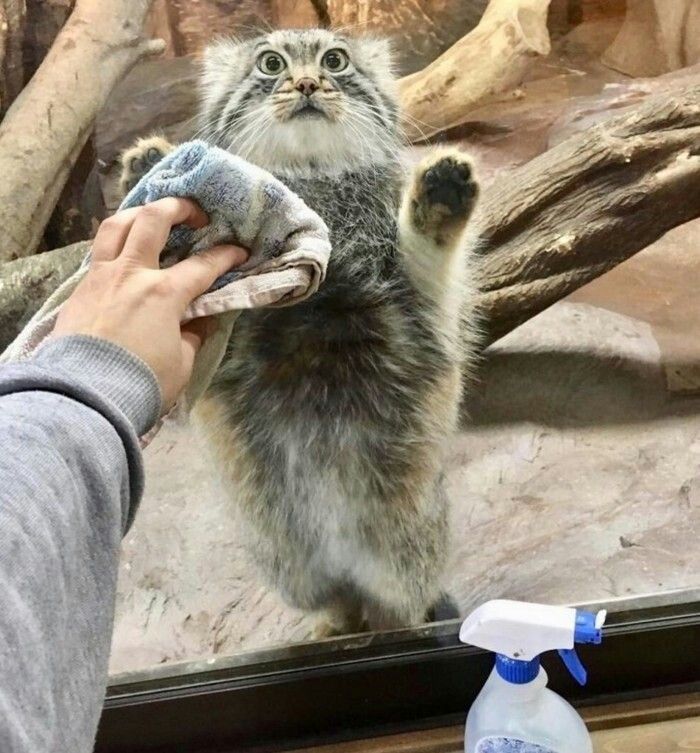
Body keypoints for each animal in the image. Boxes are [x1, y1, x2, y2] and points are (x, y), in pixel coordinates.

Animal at [120, 29, 480, 636]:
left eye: (335, 60)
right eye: (271, 64)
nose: (309, 83)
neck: (315, 178)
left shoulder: (421, 316)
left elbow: (429, 259)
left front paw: (441, 197)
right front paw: (153, 167)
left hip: (405, 548)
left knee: (398, 607)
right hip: (289, 561)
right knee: (339, 599)